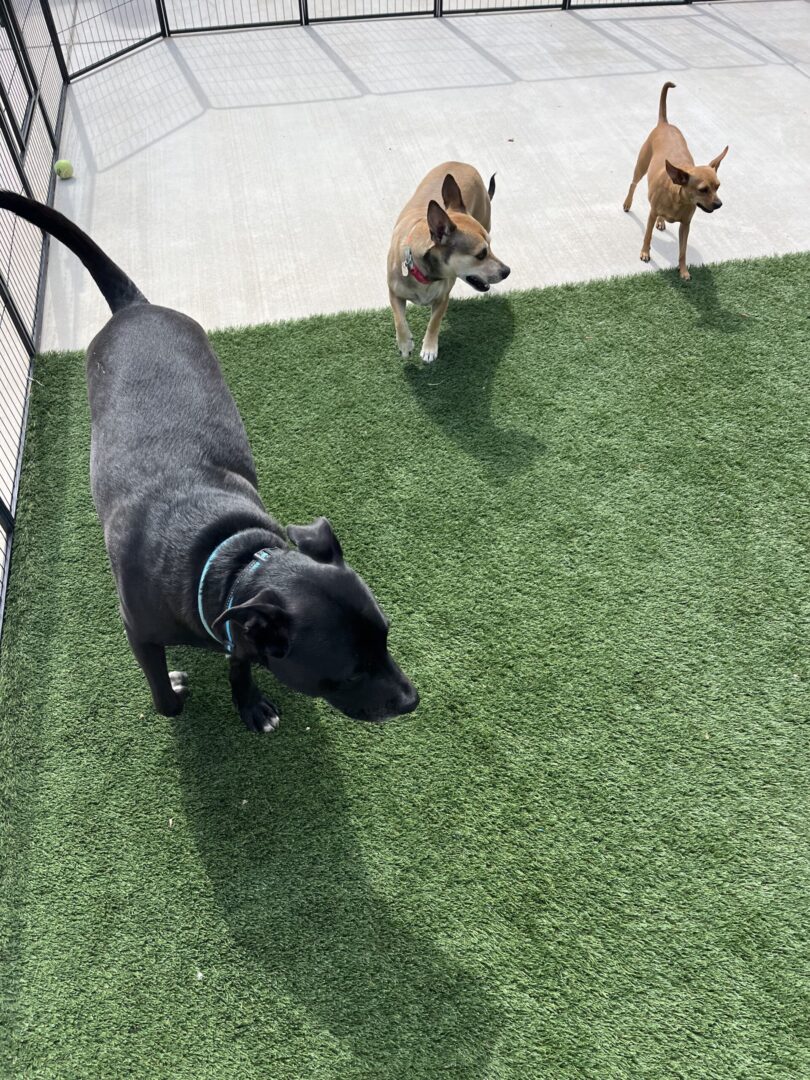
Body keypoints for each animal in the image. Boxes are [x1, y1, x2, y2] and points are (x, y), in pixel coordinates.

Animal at [4, 194, 425, 734]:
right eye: (350, 671)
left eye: (387, 636)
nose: (412, 700)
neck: (230, 558)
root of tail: (135, 307)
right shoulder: (138, 630)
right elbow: (163, 694)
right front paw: (174, 693)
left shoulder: (239, 628)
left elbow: (240, 664)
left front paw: (249, 703)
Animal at [384, 159, 507, 362]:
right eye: (481, 254)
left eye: (490, 246)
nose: (507, 271)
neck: (424, 273)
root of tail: (462, 163)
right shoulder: (394, 293)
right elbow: (399, 319)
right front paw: (404, 344)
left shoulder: (442, 299)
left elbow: (434, 322)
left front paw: (429, 348)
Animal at [626, 82, 734, 280]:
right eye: (703, 189)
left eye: (718, 186)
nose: (719, 204)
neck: (677, 199)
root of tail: (665, 123)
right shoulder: (651, 214)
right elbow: (647, 236)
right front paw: (645, 253)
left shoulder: (685, 226)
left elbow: (683, 251)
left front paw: (683, 270)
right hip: (641, 167)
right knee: (633, 184)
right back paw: (627, 204)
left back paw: (662, 221)